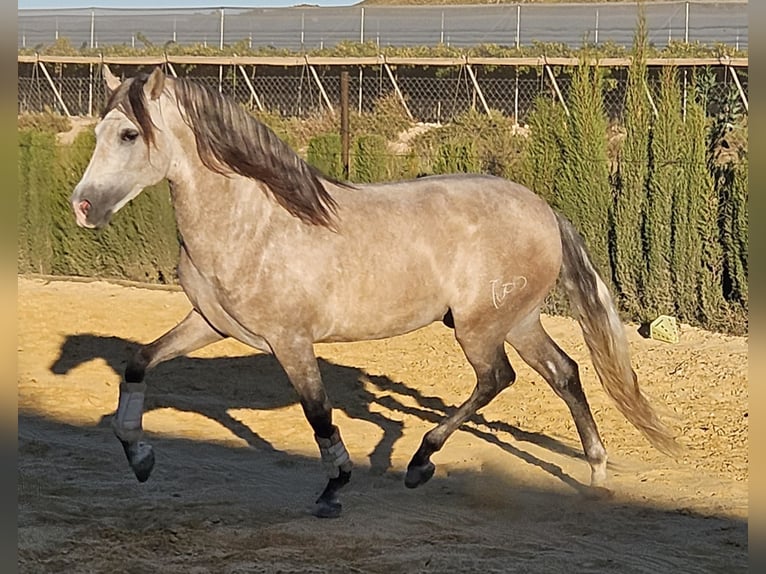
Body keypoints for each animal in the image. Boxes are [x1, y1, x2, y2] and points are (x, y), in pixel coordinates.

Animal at [70, 67, 680, 520]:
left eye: (129, 134)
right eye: (98, 133)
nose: (83, 207)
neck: (253, 222)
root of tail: (543, 209)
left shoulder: (291, 341)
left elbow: (318, 413)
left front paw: (334, 488)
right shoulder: (209, 323)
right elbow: (138, 362)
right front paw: (140, 457)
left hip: (480, 327)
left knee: (496, 380)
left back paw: (420, 462)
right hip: (518, 320)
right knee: (564, 373)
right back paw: (595, 471)